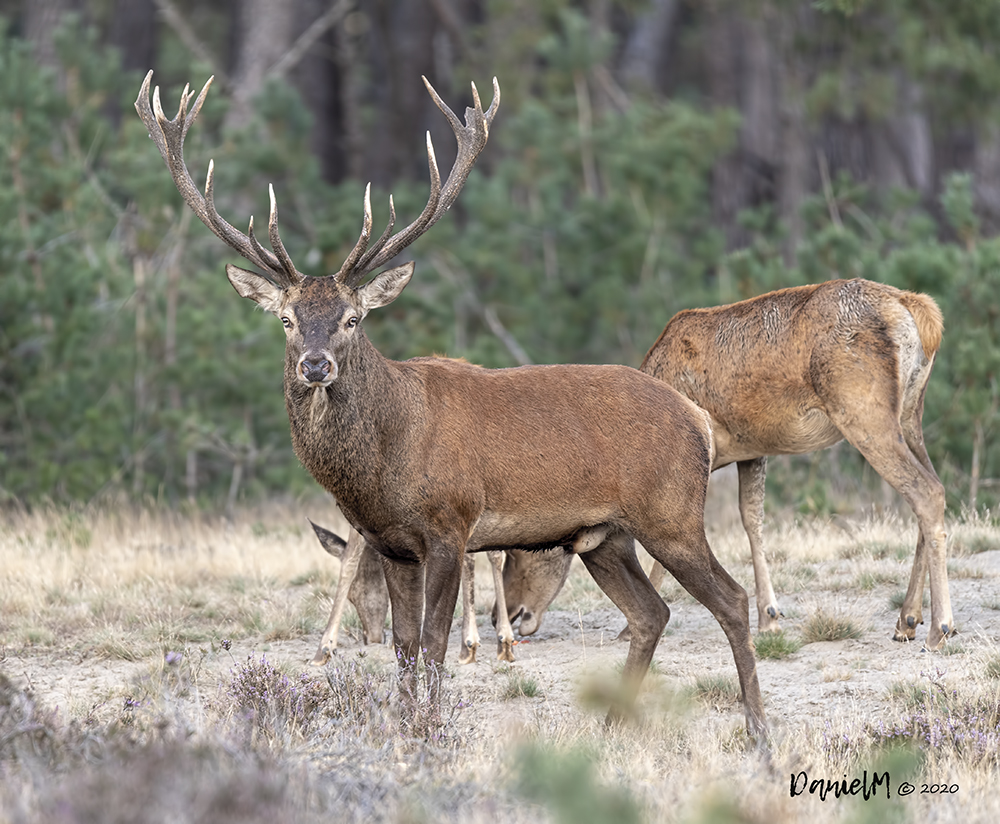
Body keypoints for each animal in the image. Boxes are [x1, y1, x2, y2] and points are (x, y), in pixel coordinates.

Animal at [137, 67, 768, 732]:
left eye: (353, 319)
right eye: (286, 319)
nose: (315, 365)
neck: (384, 463)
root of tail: (696, 417)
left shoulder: (450, 525)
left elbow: (436, 643)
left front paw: (429, 728)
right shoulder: (391, 544)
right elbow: (403, 646)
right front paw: (405, 725)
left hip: (670, 511)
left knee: (730, 598)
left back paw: (757, 726)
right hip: (603, 536)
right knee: (651, 613)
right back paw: (612, 725)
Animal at [500, 280, 952, 652]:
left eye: (526, 548)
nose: (511, 615)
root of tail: (916, 311)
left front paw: (628, 628)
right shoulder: (752, 450)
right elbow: (752, 518)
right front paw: (770, 617)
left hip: (863, 411)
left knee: (926, 492)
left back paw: (939, 627)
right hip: (911, 413)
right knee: (931, 491)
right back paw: (907, 620)